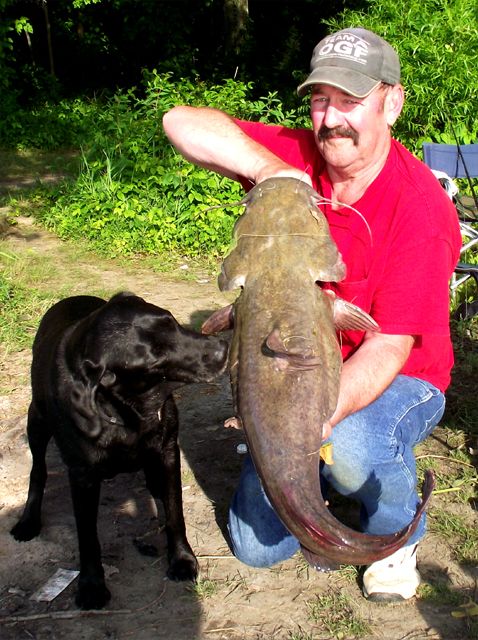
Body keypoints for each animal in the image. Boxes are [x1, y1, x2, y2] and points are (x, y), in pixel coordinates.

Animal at [10, 292, 229, 608]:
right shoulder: (82, 475)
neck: (126, 410)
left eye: (172, 321)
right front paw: (91, 585)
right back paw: (28, 521)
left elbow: (175, 513)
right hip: (36, 422)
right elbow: (87, 536)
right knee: (38, 471)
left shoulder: (168, 451)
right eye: (154, 357)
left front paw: (182, 559)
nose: (222, 349)